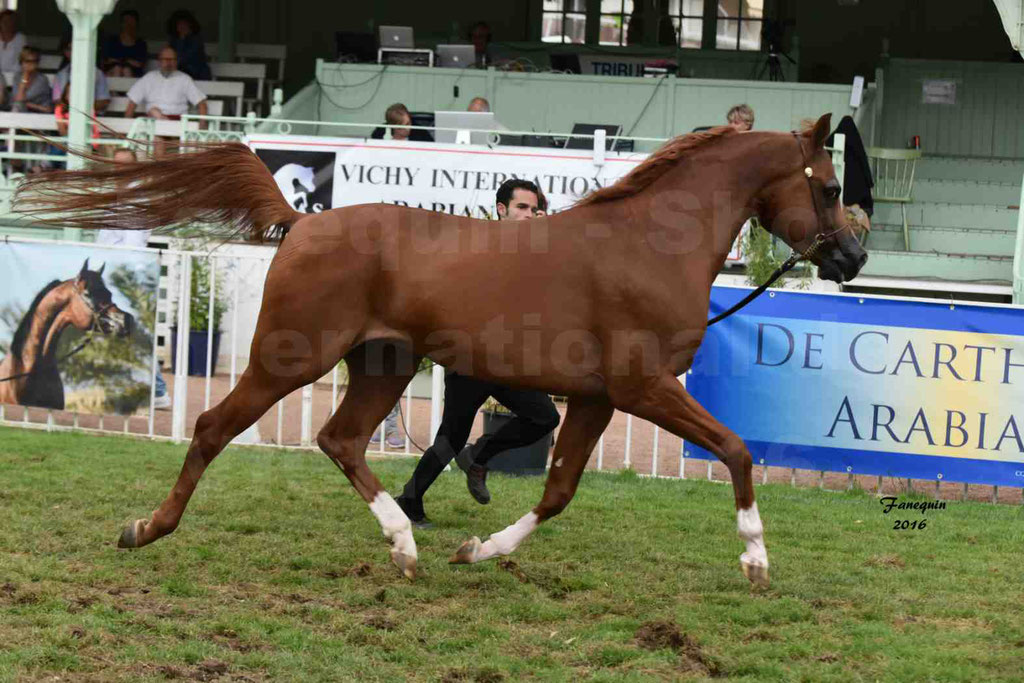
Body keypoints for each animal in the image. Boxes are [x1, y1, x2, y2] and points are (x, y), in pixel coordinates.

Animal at [16, 113, 864, 589]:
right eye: (827, 188)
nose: (852, 256)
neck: (647, 243)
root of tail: (303, 221)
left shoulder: (596, 396)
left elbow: (558, 490)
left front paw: (478, 549)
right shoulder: (643, 385)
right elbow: (738, 449)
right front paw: (756, 561)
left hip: (382, 367)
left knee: (340, 439)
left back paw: (403, 546)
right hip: (289, 358)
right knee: (213, 427)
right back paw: (145, 528)